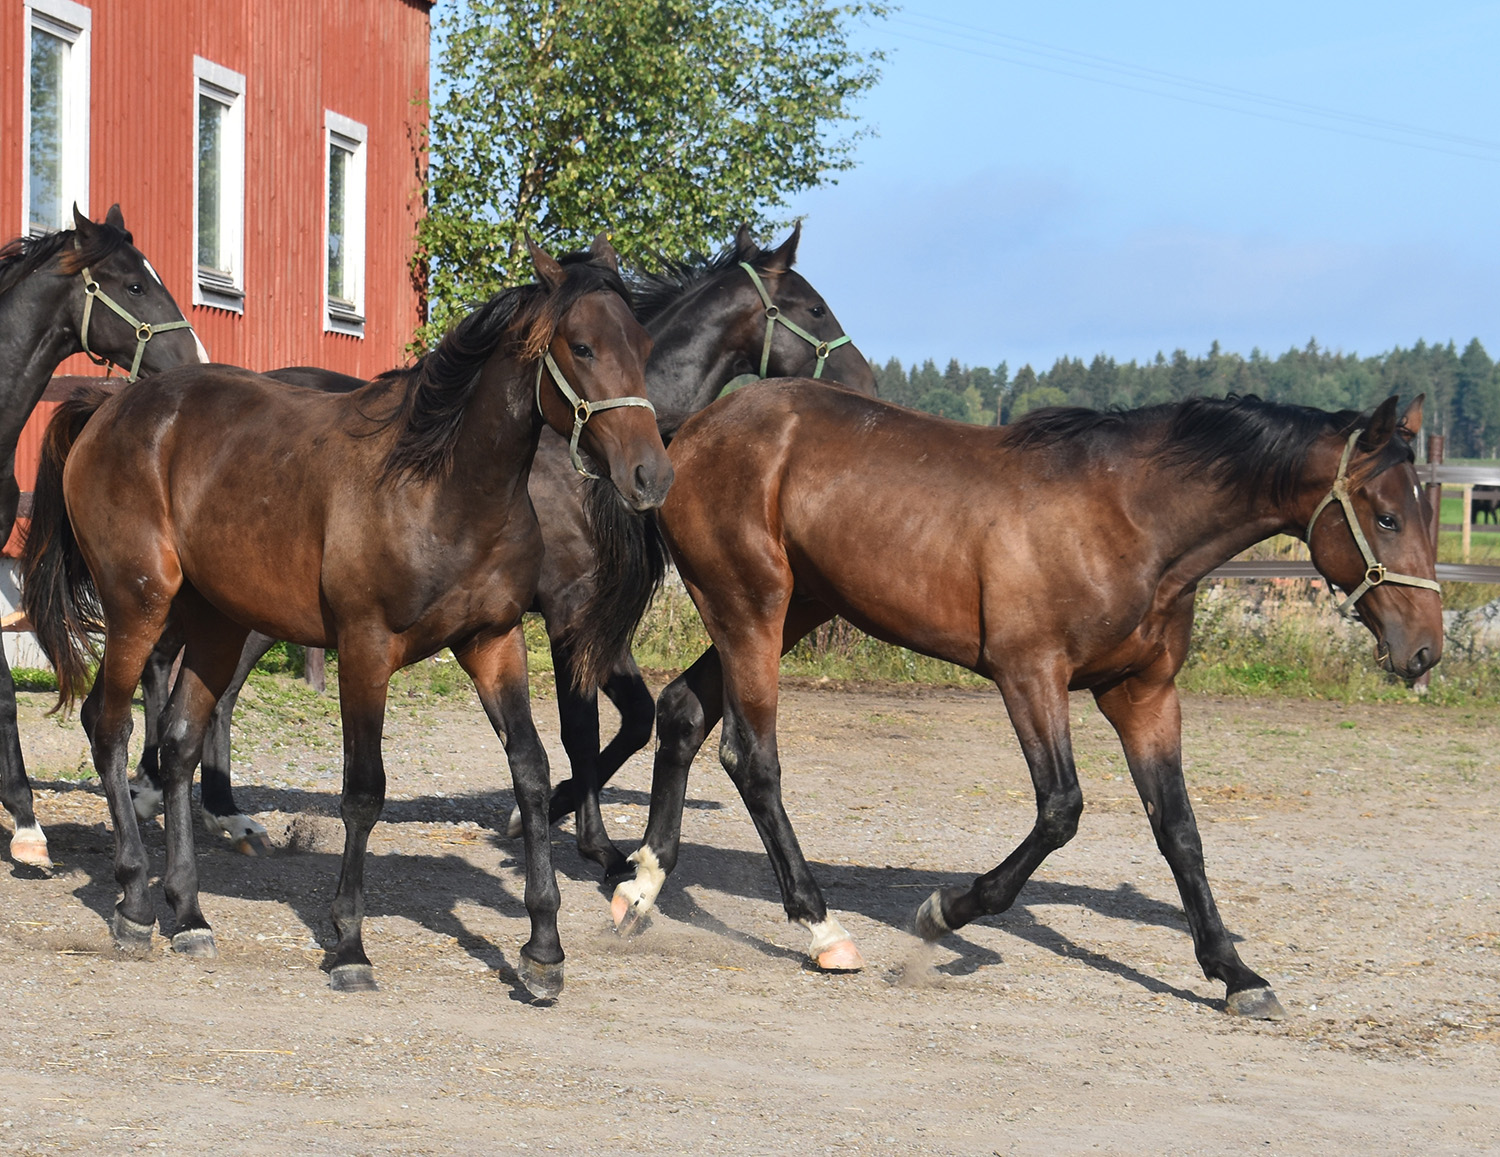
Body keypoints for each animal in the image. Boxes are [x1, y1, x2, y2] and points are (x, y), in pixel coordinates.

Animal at [20, 240, 669, 1002]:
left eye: (642, 345)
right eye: (583, 345)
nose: (651, 476)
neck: (443, 486)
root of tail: (107, 406)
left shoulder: (494, 642)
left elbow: (533, 773)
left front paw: (543, 950)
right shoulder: (365, 648)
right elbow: (364, 791)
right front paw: (350, 945)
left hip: (216, 623)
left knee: (177, 743)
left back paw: (190, 913)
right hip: (139, 605)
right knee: (110, 725)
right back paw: (133, 900)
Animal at [123, 223, 876, 876]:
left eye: (636, 341)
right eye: (814, 307)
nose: (867, 383)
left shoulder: (592, 624)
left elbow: (631, 721)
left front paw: (567, 820)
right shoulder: (569, 615)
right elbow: (581, 728)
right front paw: (584, 838)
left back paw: (194, 801)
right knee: (200, 682)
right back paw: (185, 798)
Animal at [606, 384, 1440, 1020]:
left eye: (1429, 513)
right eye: (1386, 515)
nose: (1424, 650)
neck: (1129, 517)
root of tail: (691, 434)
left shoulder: (1143, 693)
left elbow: (1179, 831)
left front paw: (1237, 975)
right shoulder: (1030, 674)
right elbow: (1061, 809)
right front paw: (942, 915)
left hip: (794, 606)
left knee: (681, 712)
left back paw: (639, 890)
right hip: (753, 606)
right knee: (752, 758)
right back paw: (823, 929)